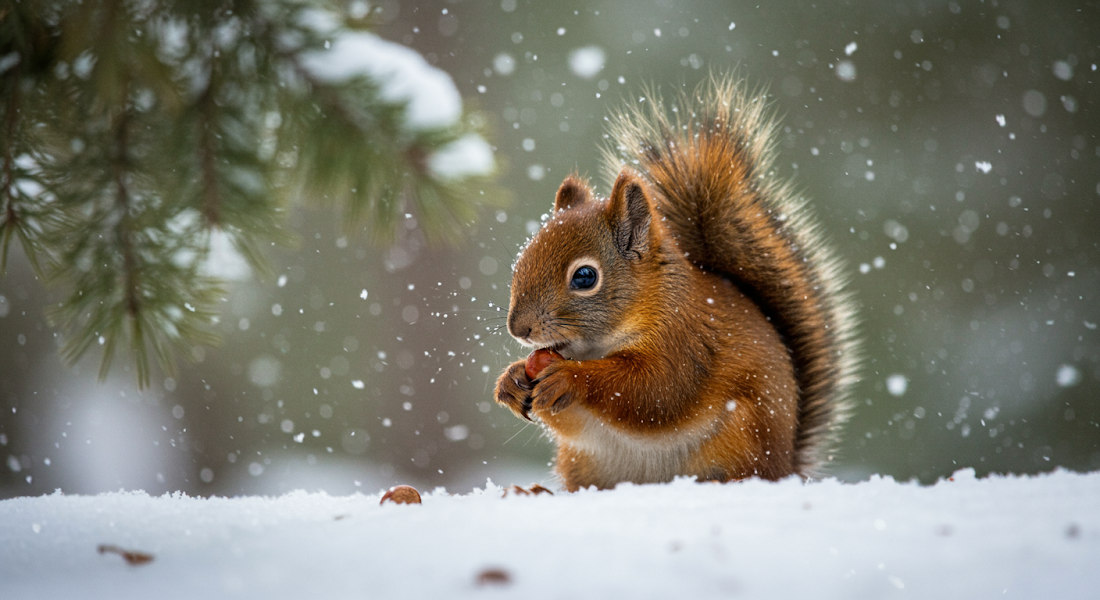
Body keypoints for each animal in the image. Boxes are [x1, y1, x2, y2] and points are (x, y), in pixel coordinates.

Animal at [492, 74, 858, 488]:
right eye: (520, 263)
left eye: (585, 277)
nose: (519, 328)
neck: (596, 347)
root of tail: (788, 468)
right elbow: (569, 420)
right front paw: (512, 379)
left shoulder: (686, 340)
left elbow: (654, 391)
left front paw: (570, 379)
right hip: (581, 461)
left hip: (745, 436)